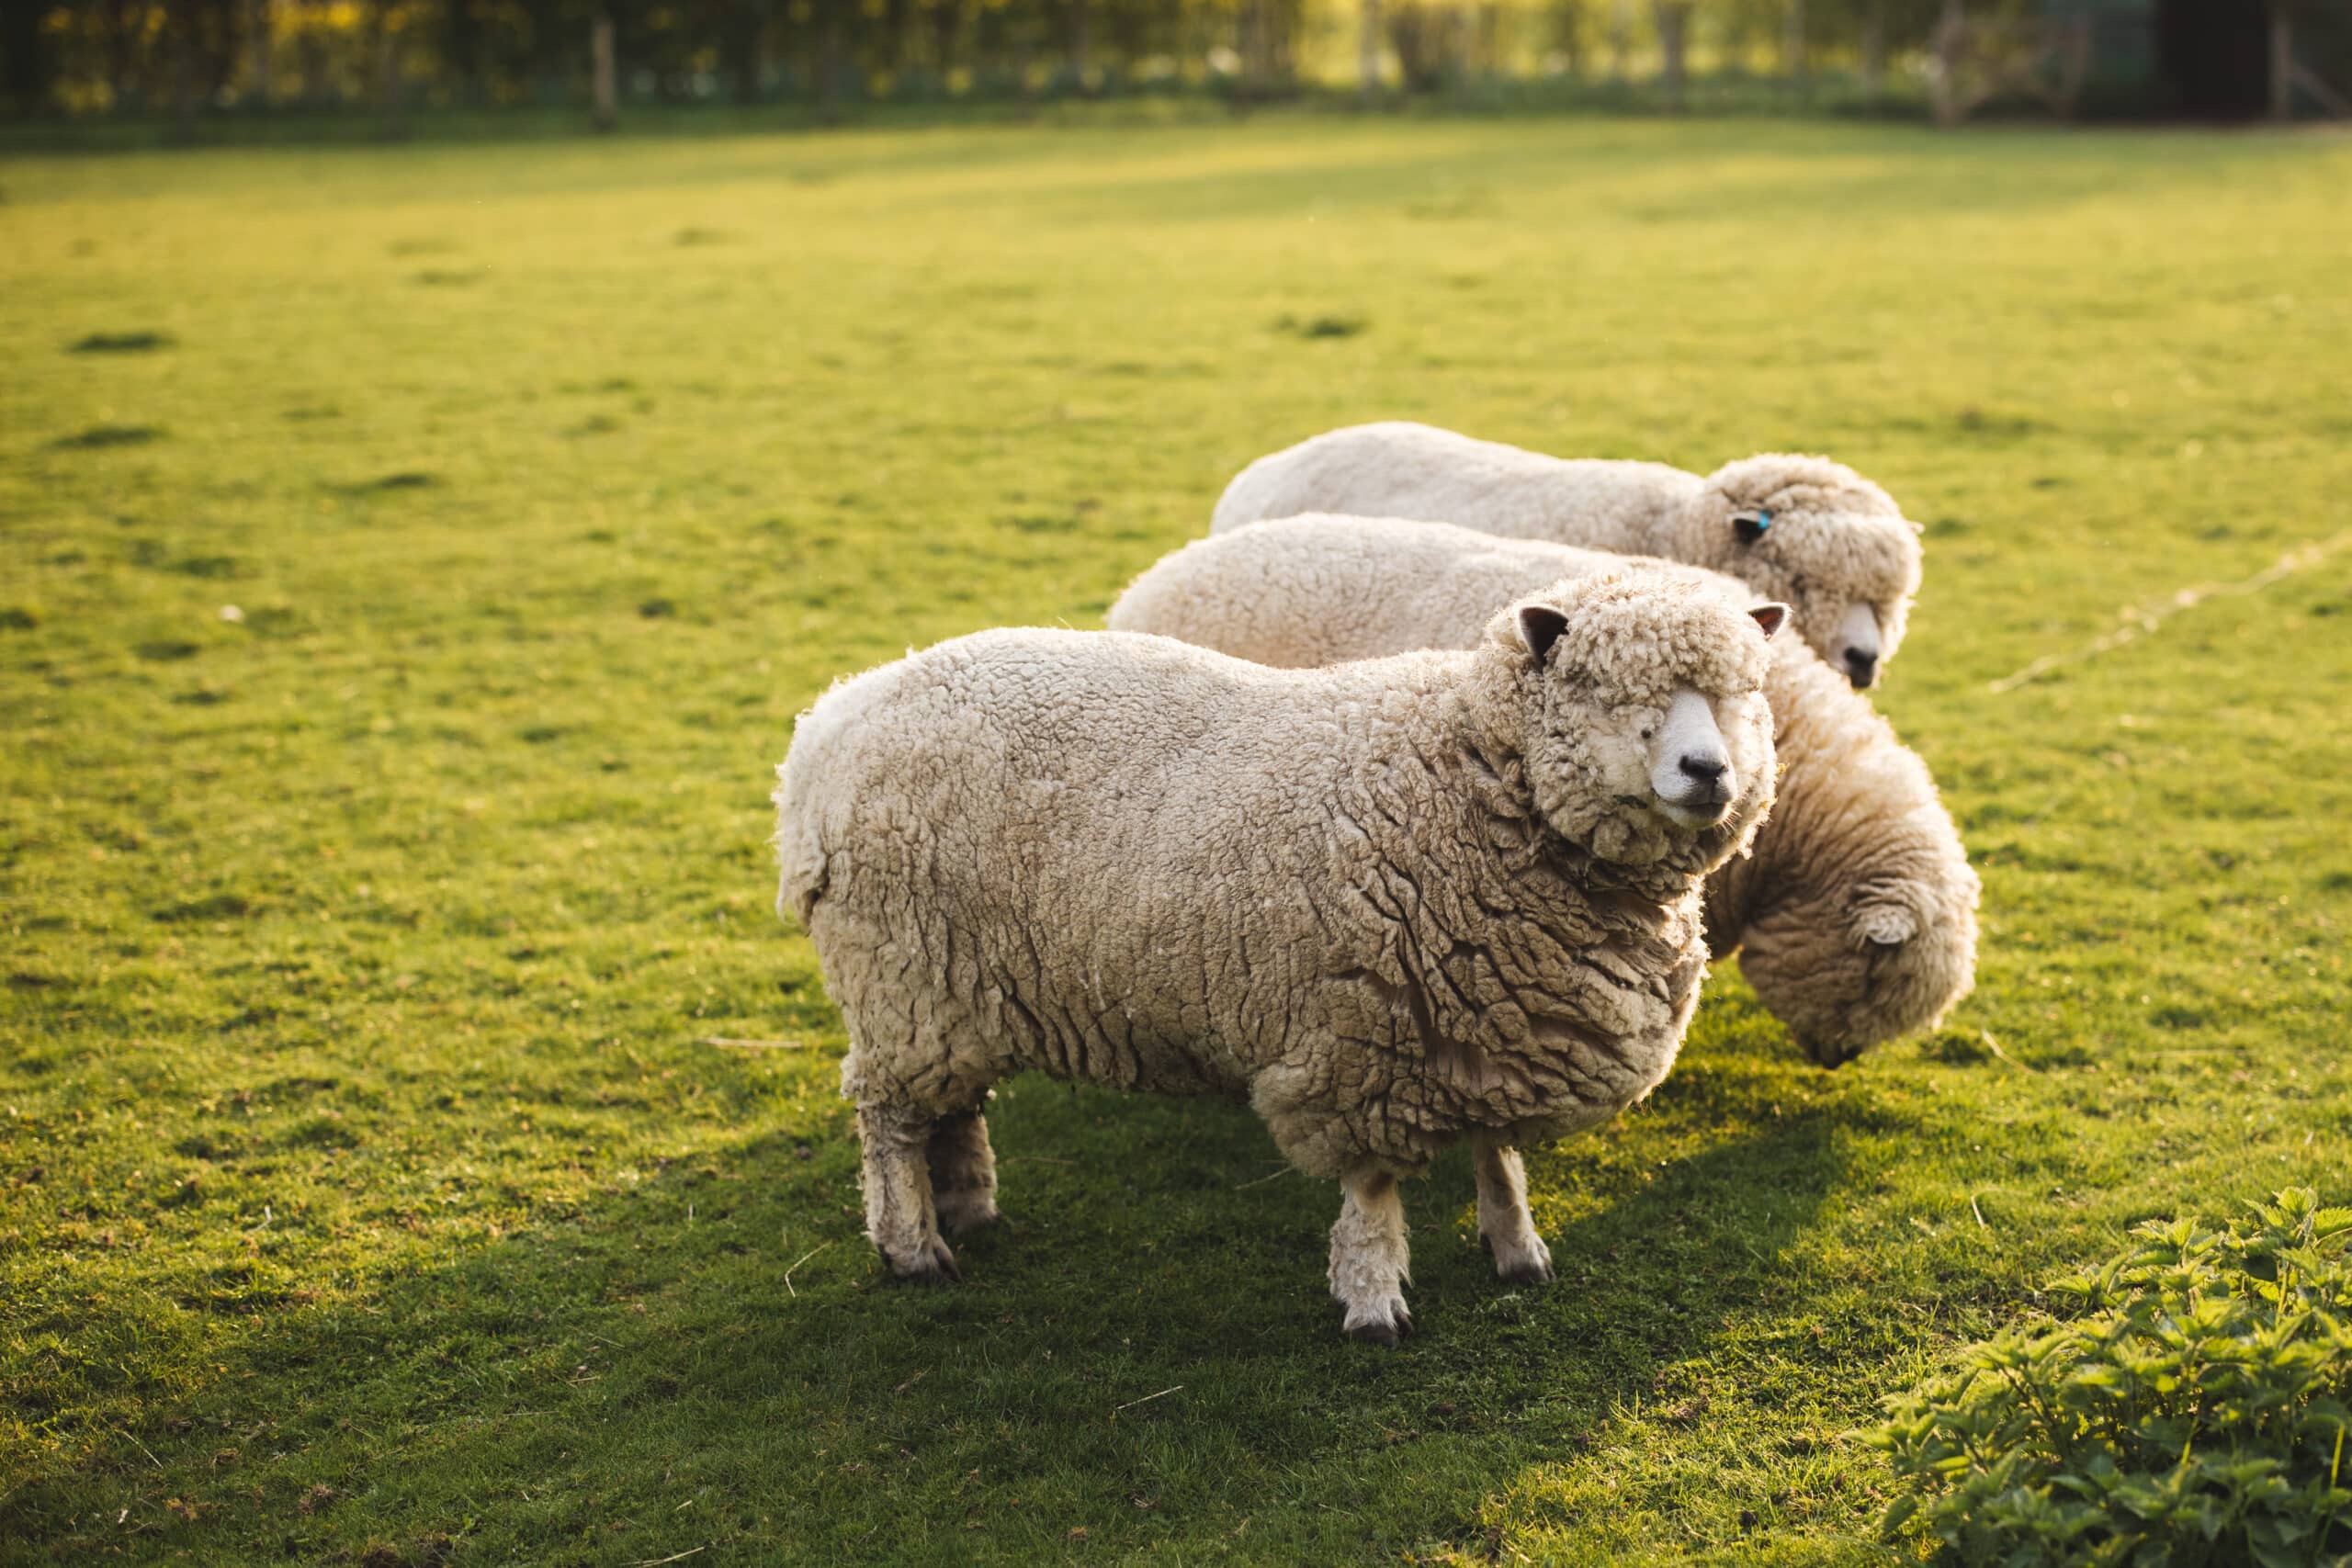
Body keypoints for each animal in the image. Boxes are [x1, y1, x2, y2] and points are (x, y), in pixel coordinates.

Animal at [775, 570, 1787, 1341]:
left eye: (1740, 696)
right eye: (1613, 696)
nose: (1708, 771)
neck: (1474, 782)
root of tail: (827, 726)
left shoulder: (1491, 1020)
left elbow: (1495, 1153)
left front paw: (1517, 1250)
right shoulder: (1362, 1042)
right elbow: (1372, 1186)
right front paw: (1374, 1302)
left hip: (957, 990)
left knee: (952, 1108)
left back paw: (968, 1206)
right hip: (899, 978)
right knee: (890, 1123)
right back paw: (913, 1246)